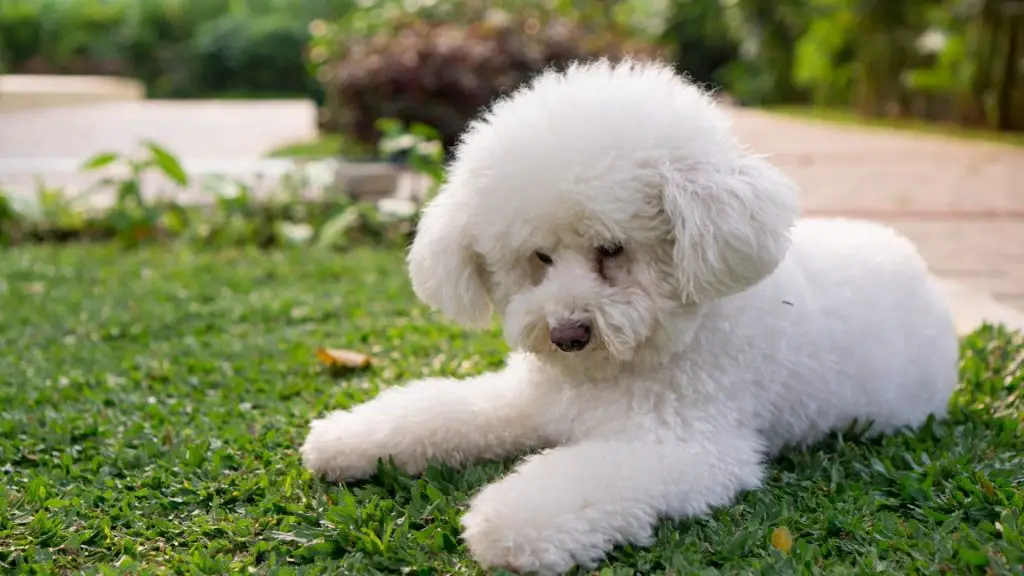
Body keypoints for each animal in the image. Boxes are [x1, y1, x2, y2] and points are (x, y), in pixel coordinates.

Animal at [299, 57, 958, 569]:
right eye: (539, 257)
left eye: (612, 250)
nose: (566, 334)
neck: (611, 373)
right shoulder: (531, 400)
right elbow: (441, 411)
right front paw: (347, 440)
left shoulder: (686, 446)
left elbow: (578, 479)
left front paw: (508, 524)